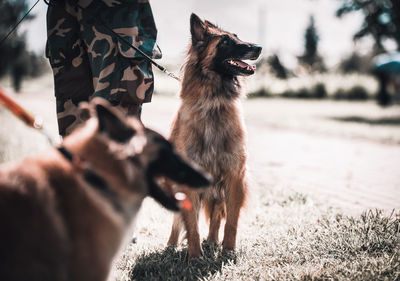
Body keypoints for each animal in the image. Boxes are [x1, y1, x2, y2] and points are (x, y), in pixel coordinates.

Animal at [166, 13, 262, 258]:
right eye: (225, 41)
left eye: (237, 36)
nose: (259, 47)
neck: (213, 103)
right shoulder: (189, 182)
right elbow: (191, 224)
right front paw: (194, 255)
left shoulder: (234, 176)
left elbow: (231, 221)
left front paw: (228, 250)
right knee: (178, 220)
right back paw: (172, 244)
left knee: (217, 216)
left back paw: (212, 241)